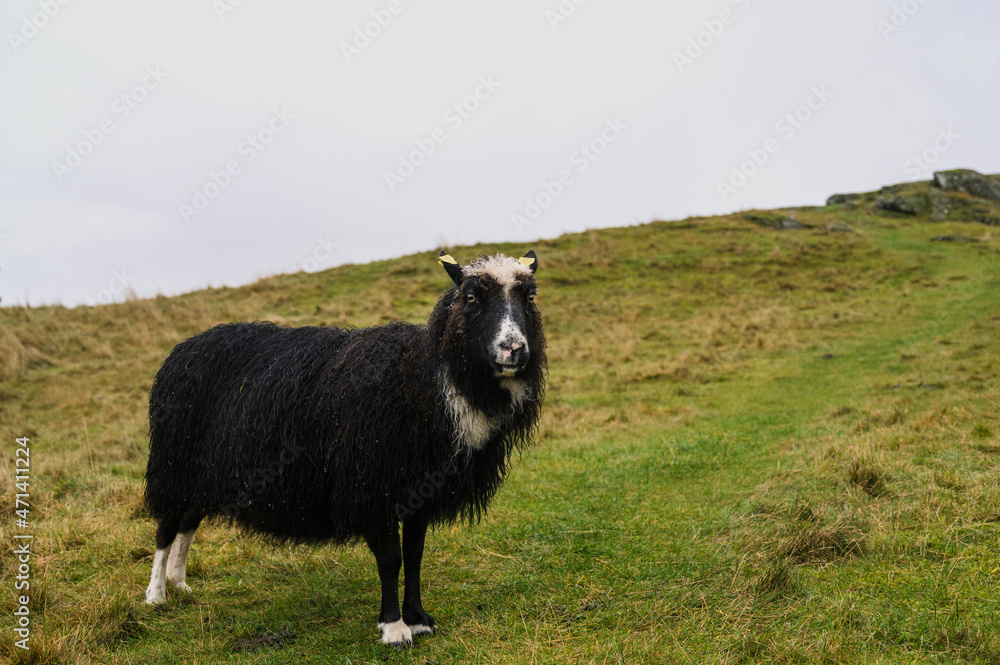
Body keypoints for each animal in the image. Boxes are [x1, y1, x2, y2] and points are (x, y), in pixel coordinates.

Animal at [143, 250, 546, 646]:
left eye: (529, 297)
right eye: (472, 297)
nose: (513, 349)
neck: (424, 380)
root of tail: (188, 345)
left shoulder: (420, 490)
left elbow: (415, 554)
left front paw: (418, 619)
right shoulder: (369, 486)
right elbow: (391, 558)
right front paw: (394, 628)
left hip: (200, 471)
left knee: (188, 521)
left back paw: (180, 582)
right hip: (172, 463)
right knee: (166, 526)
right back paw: (157, 594)